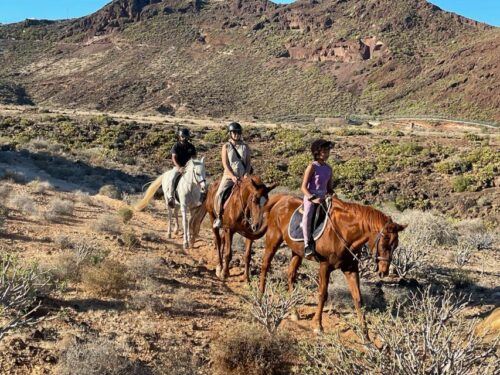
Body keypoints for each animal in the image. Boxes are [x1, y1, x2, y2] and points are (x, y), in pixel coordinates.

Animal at [260, 195, 404, 334]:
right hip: (273, 239)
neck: (344, 231)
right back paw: (260, 297)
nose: (384, 271)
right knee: (265, 265)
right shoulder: (325, 266)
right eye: (384, 243)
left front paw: (365, 333)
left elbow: (358, 298)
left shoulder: (350, 269)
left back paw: (294, 312)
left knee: (291, 276)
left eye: (395, 245)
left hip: (296, 252)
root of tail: (281, 200)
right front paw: (318, 325)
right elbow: (323, 294)